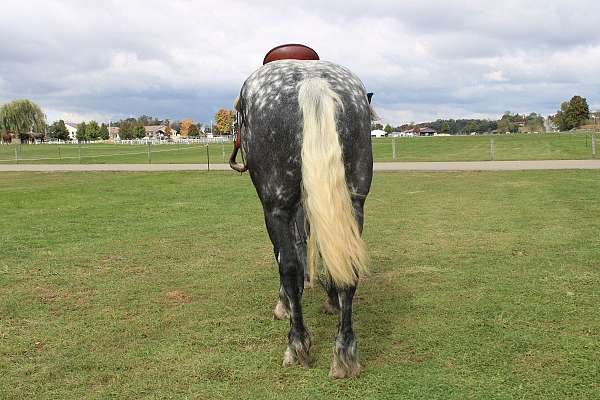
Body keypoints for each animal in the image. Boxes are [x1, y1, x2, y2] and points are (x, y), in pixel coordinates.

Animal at [236, 60, 372, 378]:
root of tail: (312, 80)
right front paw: (330, 298)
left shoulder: (277, 210)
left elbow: (287, 260)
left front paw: (284, 303)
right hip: (354, 201)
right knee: (347, 263)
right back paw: (344, 352)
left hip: (276, 206)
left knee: (287, 265)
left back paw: (297, 344)